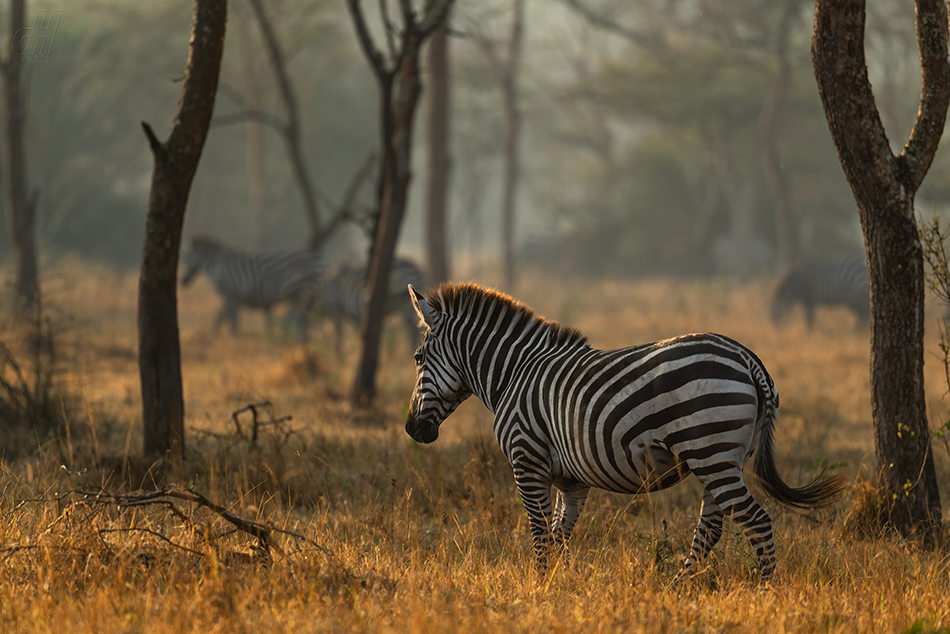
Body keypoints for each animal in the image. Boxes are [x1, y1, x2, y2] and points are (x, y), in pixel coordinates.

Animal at [179, 235, 328, 336]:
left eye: (185, 258)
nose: (183, 282)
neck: (217, 264)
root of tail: (320, 258)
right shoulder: (232, 296)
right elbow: (222, 317)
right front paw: (214, 336)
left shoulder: (229, 292)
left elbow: (231, 317)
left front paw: (233, 337)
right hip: (300, 294)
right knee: (302, 317)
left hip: (305, 289)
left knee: (301, 317)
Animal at [406, 282, 844, 584]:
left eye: (417, 357)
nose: (412, 429)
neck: (516, 372)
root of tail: (747, 357)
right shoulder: (571, 480)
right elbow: (560, 535)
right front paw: (559, 588)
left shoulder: (526, 459)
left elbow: (540, 533)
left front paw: (538, 588)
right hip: (723, 458)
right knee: (712, 528)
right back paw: (677, 587)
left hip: (712, 452)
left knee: (756, 522)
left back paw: (762, 591)